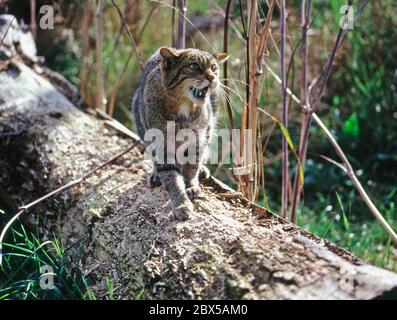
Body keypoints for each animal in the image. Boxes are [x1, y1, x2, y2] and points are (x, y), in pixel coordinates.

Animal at [132, 47, 227, 220]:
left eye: (214, 68)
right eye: (194, 66)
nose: (212, 77)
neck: (184, 106)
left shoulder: (198, 138)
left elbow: (191, 166)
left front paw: (190, 185)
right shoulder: (161, 144)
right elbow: (171, 178)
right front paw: (181, 203)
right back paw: (155, 174)